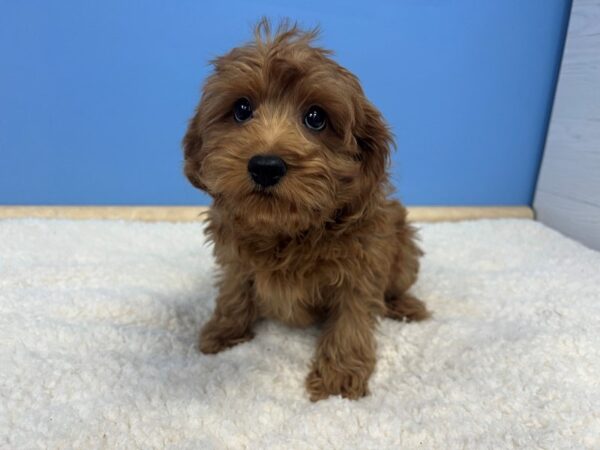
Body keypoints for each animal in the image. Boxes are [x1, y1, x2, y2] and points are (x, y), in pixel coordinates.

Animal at [180, 20, 428, 400]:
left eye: (315, 117)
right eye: (241, 109)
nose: (265, 166)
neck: (287, 228)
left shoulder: (363, 263)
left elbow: (351, 320)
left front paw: (339, 376)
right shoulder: (234, 257)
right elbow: (234, 292)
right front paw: (224, 332)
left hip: (405, 250)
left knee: (397, 285)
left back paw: (405, 306)